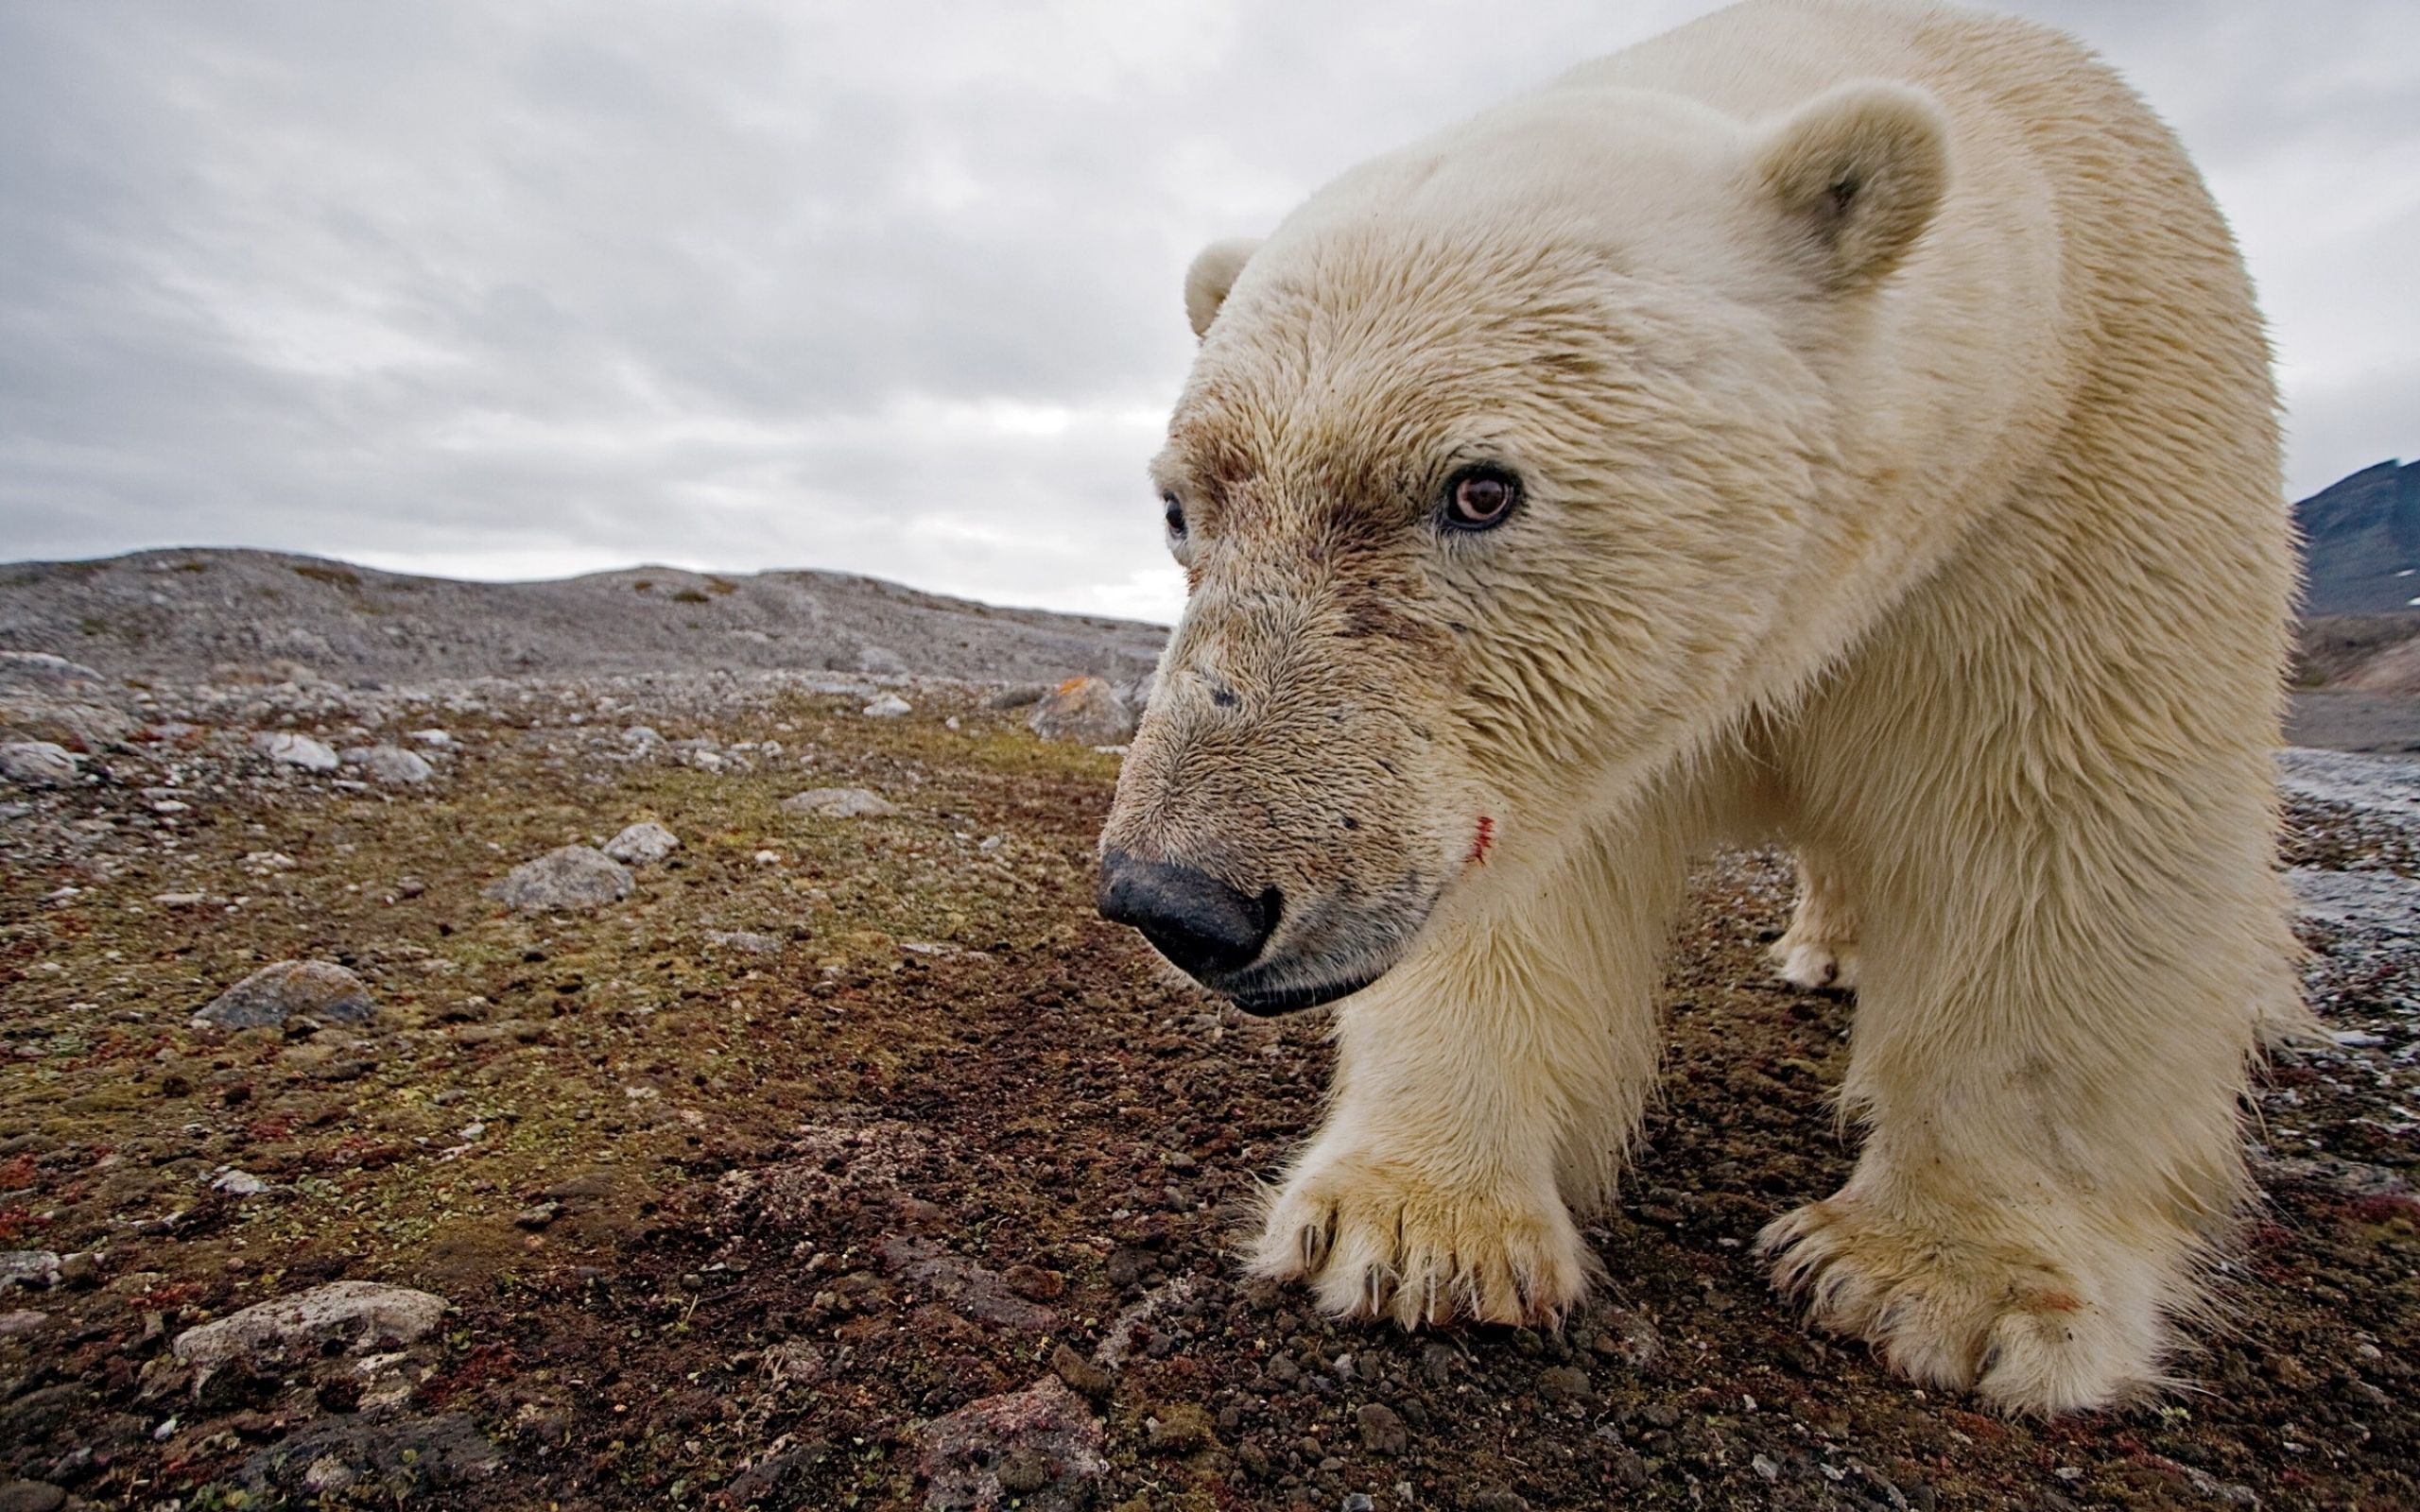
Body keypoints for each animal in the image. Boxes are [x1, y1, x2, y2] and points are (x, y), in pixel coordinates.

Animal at [1095, 0, 2304, 1418]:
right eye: (1183, 506)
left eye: (1479, 488)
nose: (1180, 899)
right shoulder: (1559, 728)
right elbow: (1533, 884)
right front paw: (1412, 1227)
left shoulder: (2071, 487)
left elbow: (2059, 833)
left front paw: (1948, 1285)